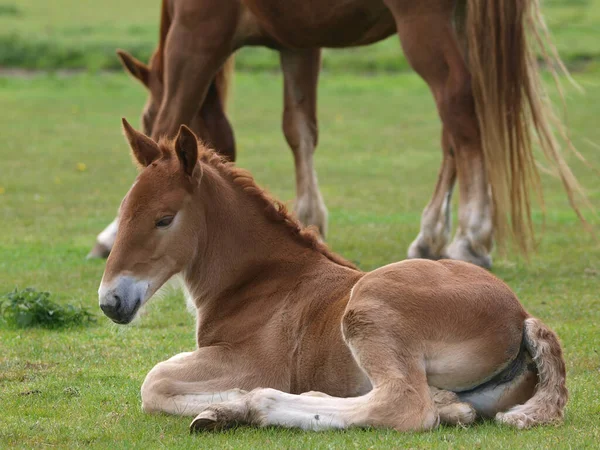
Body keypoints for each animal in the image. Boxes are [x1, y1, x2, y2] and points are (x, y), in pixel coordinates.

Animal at [89, 0, 584, 268]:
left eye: (142, 118)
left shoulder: (195, 36)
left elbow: (171, 116)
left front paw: (114, 230)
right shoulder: (298, 43)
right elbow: (299, 128)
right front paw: (309, 218)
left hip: (425, 25)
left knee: (458, 102)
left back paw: (471, 235)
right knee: (455, 127)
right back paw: (430, 236)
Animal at [97, 120, 568, 432]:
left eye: (164, 219)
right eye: (121, 212)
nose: (110, 301)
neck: (259, 281)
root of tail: (522, 316)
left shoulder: (250, 361)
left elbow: (154, 382)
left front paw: (231, 401)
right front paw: (218, 408)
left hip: (367, 306)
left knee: (404, 405)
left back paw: (257, 405)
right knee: (445, 406)